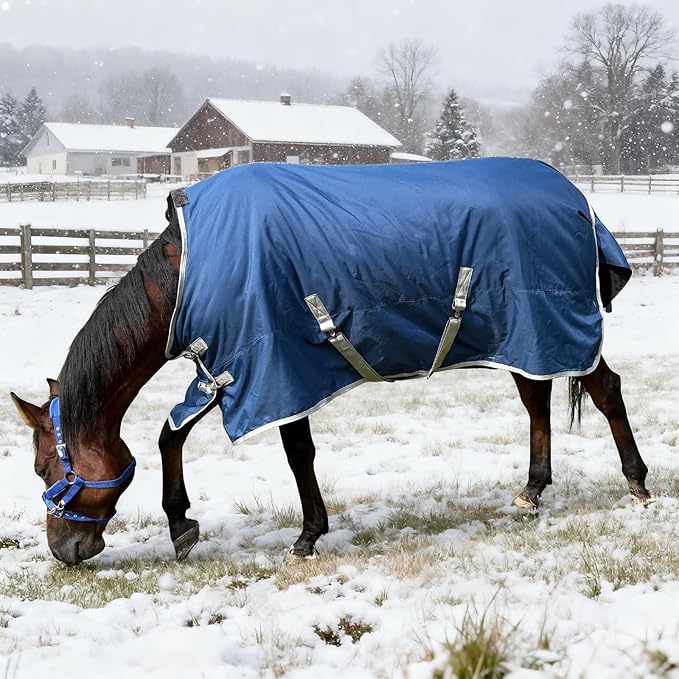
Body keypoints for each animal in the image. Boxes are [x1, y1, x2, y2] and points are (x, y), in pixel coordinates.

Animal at [11, 158, 653, 566]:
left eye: (45, 469)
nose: (63, 552)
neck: (191, 269)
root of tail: (578, 200)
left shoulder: (276, 369)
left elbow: (298, 455)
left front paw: (307, 536)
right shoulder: (225, 371)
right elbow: (172, 436)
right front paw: (182, 527)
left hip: (554, 326)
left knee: (606, 390)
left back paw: (638, 484)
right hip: (523, 339)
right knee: (537, 400)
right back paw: (532, 491)